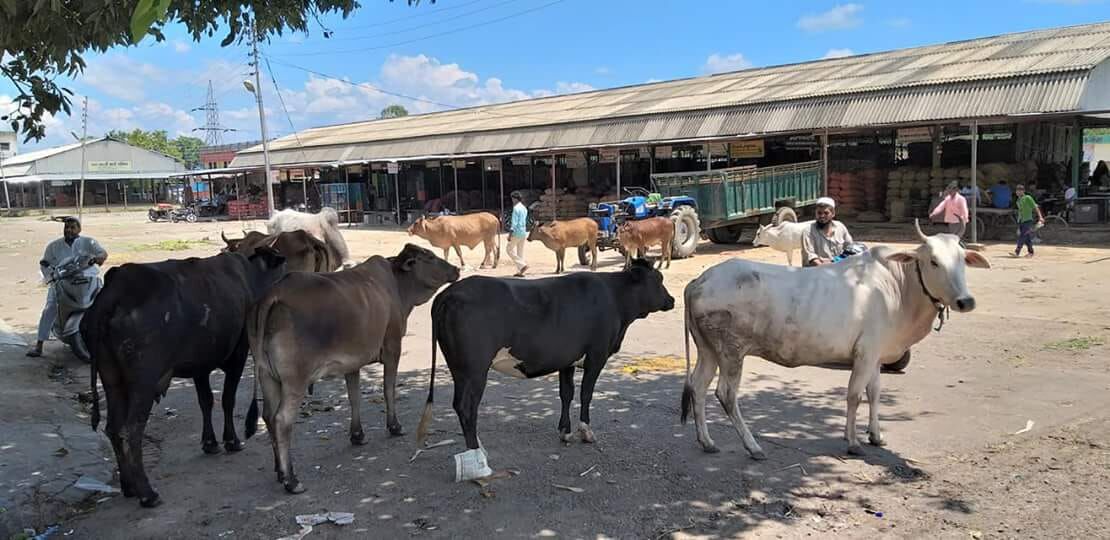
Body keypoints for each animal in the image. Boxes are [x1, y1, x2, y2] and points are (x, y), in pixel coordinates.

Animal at [81, 248, 286, 506]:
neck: (250, 274)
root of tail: (113, 294)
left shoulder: (200, 365)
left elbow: (206, 401)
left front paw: (210, 443)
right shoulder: (237, 355)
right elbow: (227, 399)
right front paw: (231, 440)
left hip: (112, 380)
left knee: (113, 428)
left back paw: (128, 486)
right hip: (143, 383)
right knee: (131, 430)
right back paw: (147, 492)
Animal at [417, 260, 674, 477]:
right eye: (658, 279)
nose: (671, 300)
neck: (615, 299)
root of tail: (448, 293)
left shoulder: (567, 360)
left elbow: (566, 393)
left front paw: (565, 431)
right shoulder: (597, 355)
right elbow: (586, 393)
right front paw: (585, 432)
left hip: (458, 368)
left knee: (459, 405)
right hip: (475, 369)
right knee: (467, 407)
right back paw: (478, 459)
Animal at [679, 221, 994, 457]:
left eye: (963, 260)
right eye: (933, 261)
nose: (965, 301)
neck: (898, 286)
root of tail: (699, 281)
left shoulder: (876, 355)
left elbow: (874, 393)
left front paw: (875, 435)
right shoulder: (865, 353)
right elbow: (854, 395)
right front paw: (853, 442)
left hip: (708, 349)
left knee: (698, 386)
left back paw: (706, 441)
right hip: (731, 351)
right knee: (726, 394)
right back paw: (753, 446)